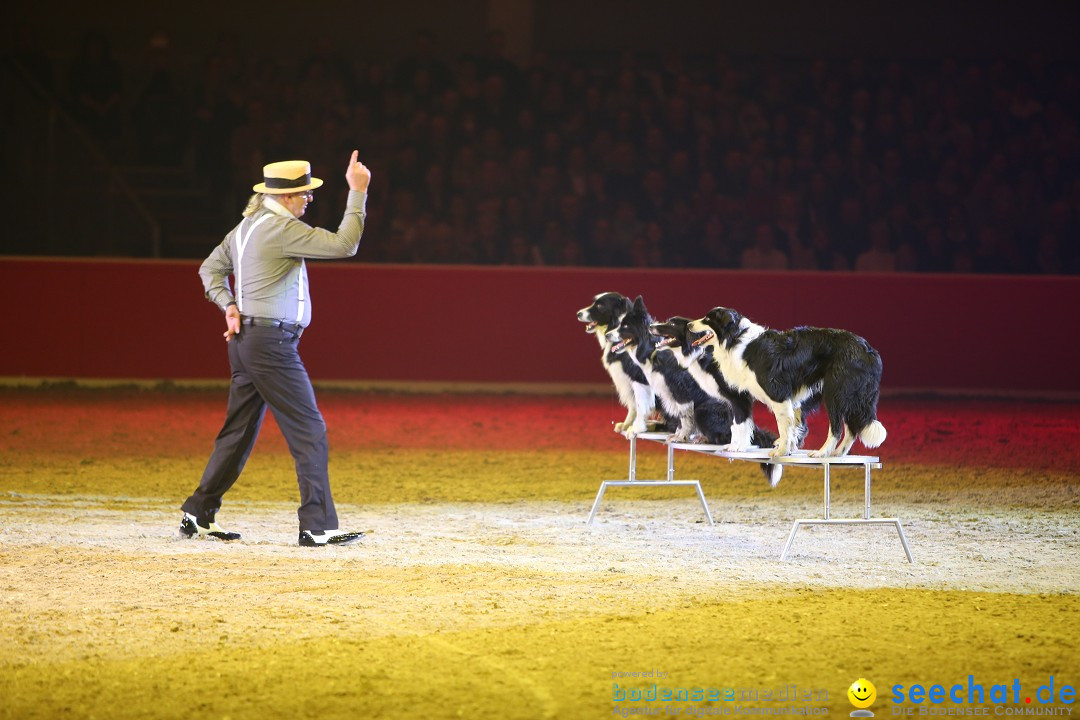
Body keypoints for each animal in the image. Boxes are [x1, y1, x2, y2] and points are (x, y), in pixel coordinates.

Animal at [578, 291, 652, 436]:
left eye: (600, 305)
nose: (578, 313)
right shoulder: (626, 379)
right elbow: (633, 403)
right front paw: (627, 424)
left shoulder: (638, 377)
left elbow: (640, 403)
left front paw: (636, 428)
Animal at [691, 306, 885, 459]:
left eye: (707, 319)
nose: (688, 324)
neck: (737, 338)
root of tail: (869, 350)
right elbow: (790, 426)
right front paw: (788, 449)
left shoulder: (778, 393)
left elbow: (783, 426)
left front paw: (781, 451)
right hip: (850, 396)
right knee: (852, 427)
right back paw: (838, 453)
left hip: (835, 393)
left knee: (837, 428)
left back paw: (823, 453)